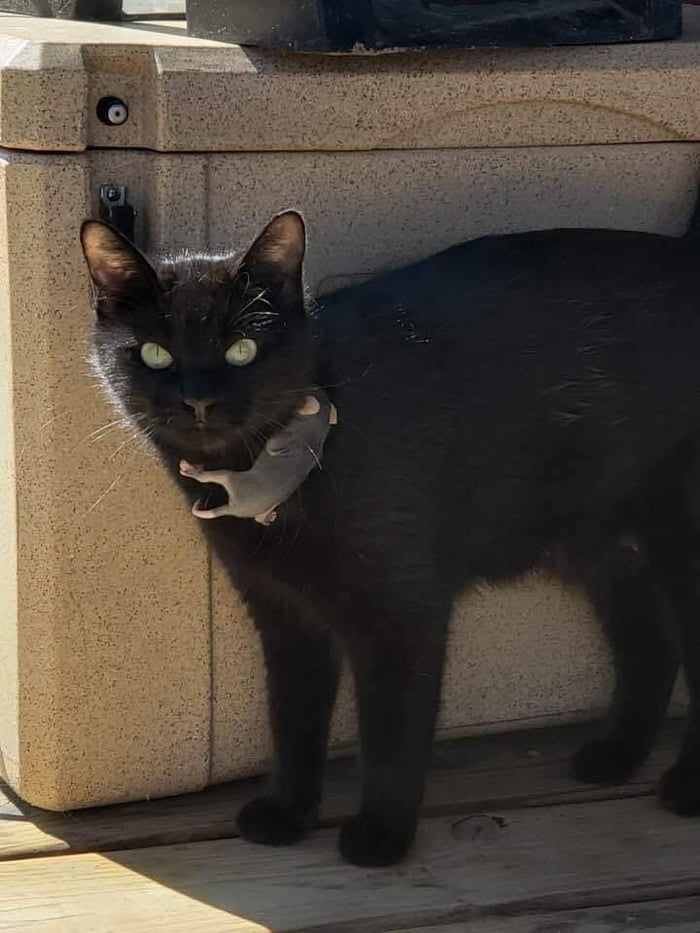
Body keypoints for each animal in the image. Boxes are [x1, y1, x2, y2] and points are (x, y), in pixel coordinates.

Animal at [83, 195, 700, 868]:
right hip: (600, 544)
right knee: (653, 644)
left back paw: (686, 787)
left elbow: (392, 728)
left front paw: (382, 833)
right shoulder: (281, 609)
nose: (198, 401)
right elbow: (293, 716)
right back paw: (616, 756)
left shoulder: (403, 611)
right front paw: (288, 811)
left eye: (242, 348)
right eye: (155, 353)